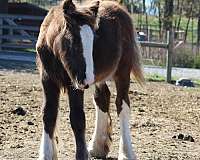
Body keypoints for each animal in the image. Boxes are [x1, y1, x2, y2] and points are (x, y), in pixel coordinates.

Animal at [36, 0, 145, 159]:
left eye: (93, 41)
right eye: (74, 42)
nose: (87, 80)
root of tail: (119, 7)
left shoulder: (74, 84)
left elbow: (77, 118)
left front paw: (81, 155)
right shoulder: (47, 79)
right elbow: (49, 114)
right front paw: (47, 154)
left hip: (122, 72)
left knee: (122, 104)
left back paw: (126, 153)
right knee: (102, 98)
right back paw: (97, 146)